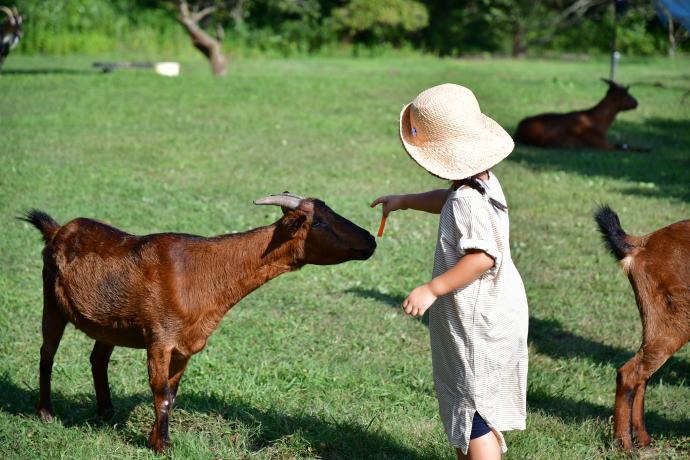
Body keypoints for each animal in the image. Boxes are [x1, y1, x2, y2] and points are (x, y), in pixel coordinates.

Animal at [20, 192, 376, 452]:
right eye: (321, 224)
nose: (371, 240)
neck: (201, 274)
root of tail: (57, 230)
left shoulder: (185, 346)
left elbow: (172, 393)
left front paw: (155, 439)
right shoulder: (160, 338)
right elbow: (161, 392)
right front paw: (163, 446)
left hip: (109, 323)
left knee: (97, 358)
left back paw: (106, 412)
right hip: (51, 302)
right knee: (47, 353)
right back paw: (46, 413)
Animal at [592, 205, 684, 450]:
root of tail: (643, 242)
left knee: (642, 375)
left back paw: (642, 438)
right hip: (677, 321)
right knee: (629, 373)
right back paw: (624, 444)